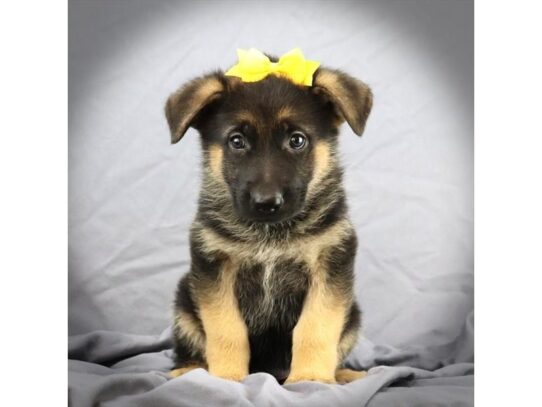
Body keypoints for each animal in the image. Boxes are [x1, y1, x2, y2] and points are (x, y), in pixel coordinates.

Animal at [167, 51, 374, 386]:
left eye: (297, 140)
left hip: (353, 314)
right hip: (185, 301)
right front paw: (226, 377)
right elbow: (226, 330)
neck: (269, 234)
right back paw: (190, 369)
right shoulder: (214, 268)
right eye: (237, 141)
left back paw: (343, 374)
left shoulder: (329, 266)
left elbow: (316, 328)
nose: (267, 203)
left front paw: (311, 378)